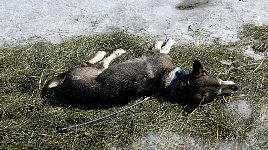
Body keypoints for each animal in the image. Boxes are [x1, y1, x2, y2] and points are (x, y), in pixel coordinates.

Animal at [43, 38, 238, 112]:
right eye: (218, 80)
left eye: (219, 89)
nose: (236, 87)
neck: (172, 80)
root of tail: (63, 85)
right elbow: (163, 48)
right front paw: (164, 42)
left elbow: (162, 48)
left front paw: (163, 42)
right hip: (93, 71)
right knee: (95, 62)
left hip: (95, 70)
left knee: (97, 62)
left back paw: (112, 52)